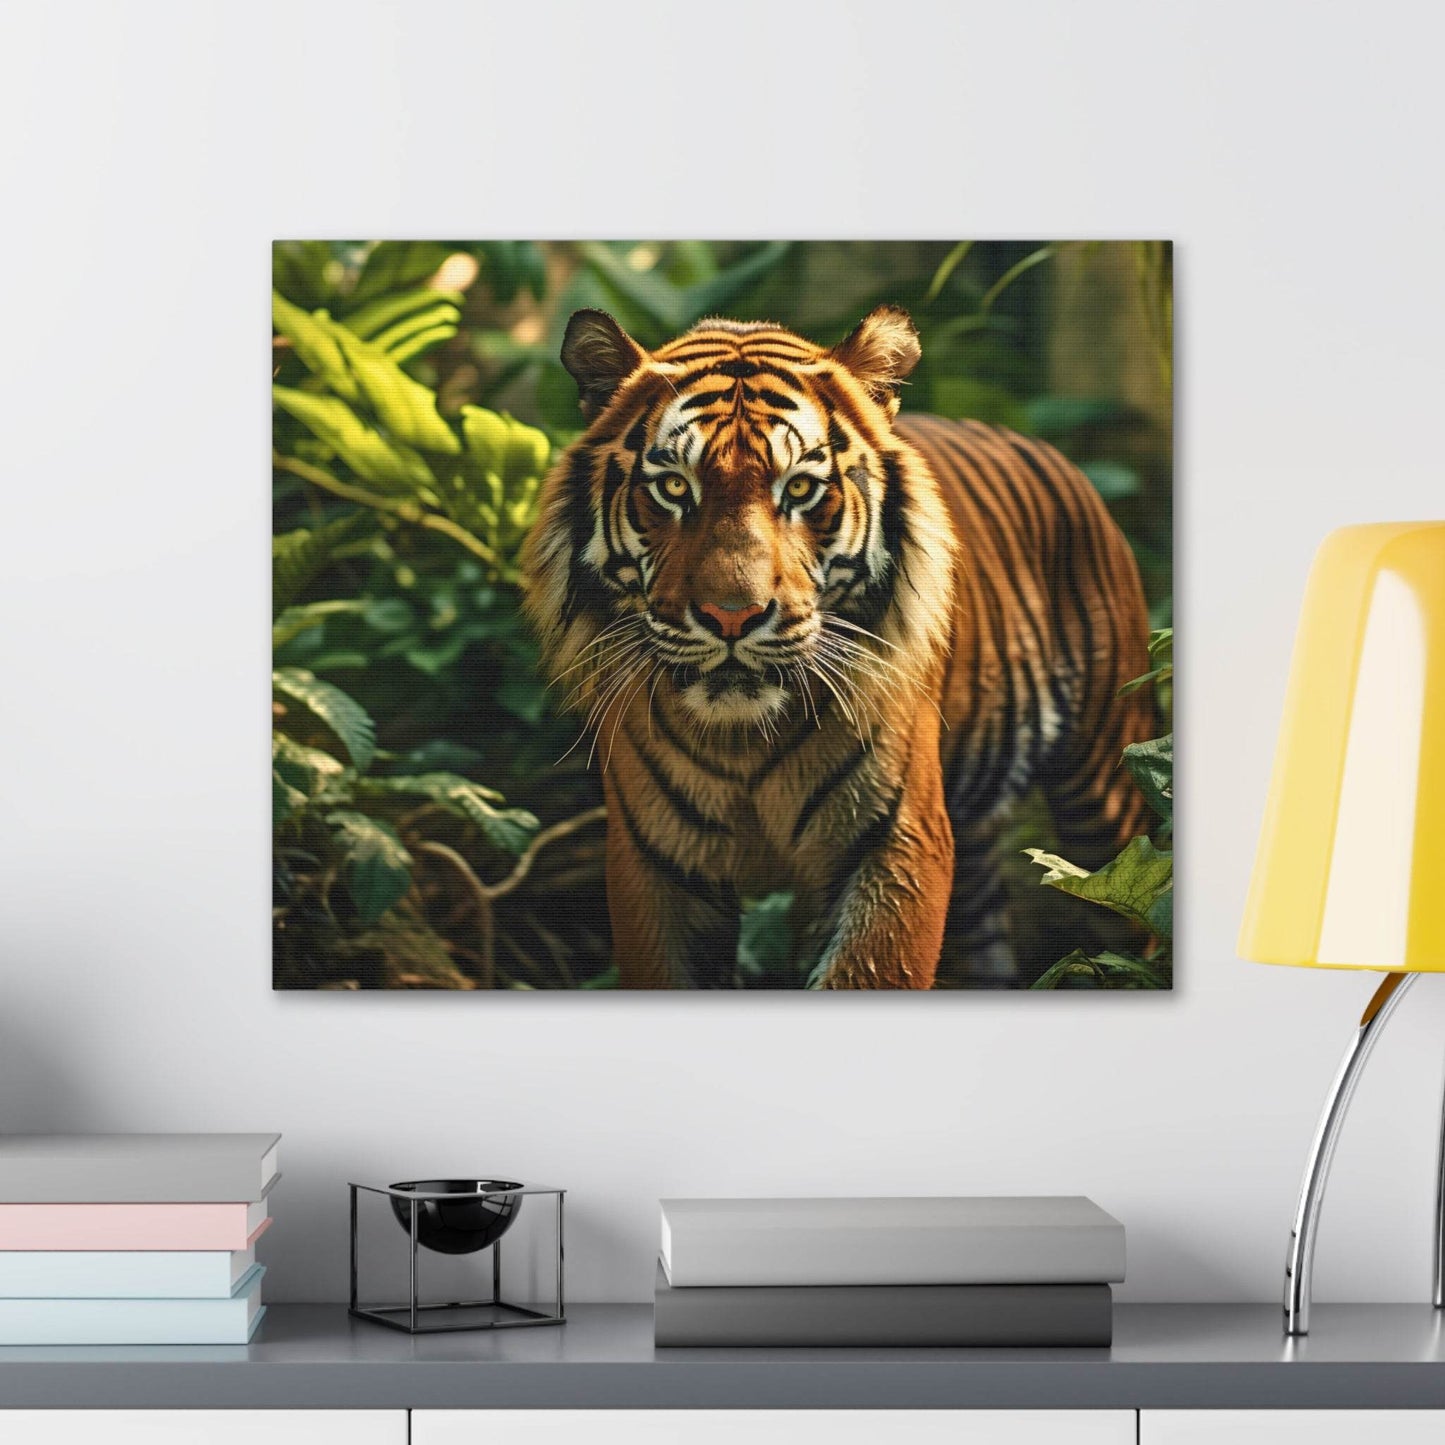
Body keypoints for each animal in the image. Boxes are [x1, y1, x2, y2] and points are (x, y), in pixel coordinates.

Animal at [522, 305, 1154, 989]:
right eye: (673, 488)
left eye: (800, 489)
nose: (731, 616)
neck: (743, 742)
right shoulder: (655, 865)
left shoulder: (897, 842)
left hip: (1108, 788)